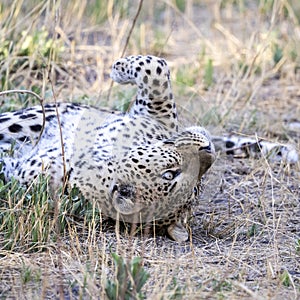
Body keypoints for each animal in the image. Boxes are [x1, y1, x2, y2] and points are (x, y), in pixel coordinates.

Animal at [0, 54, 216, 244]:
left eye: (193, 186)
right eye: (171, 174)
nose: (209, 150)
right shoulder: (156, 114)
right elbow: (156, 67)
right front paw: (120, 69)